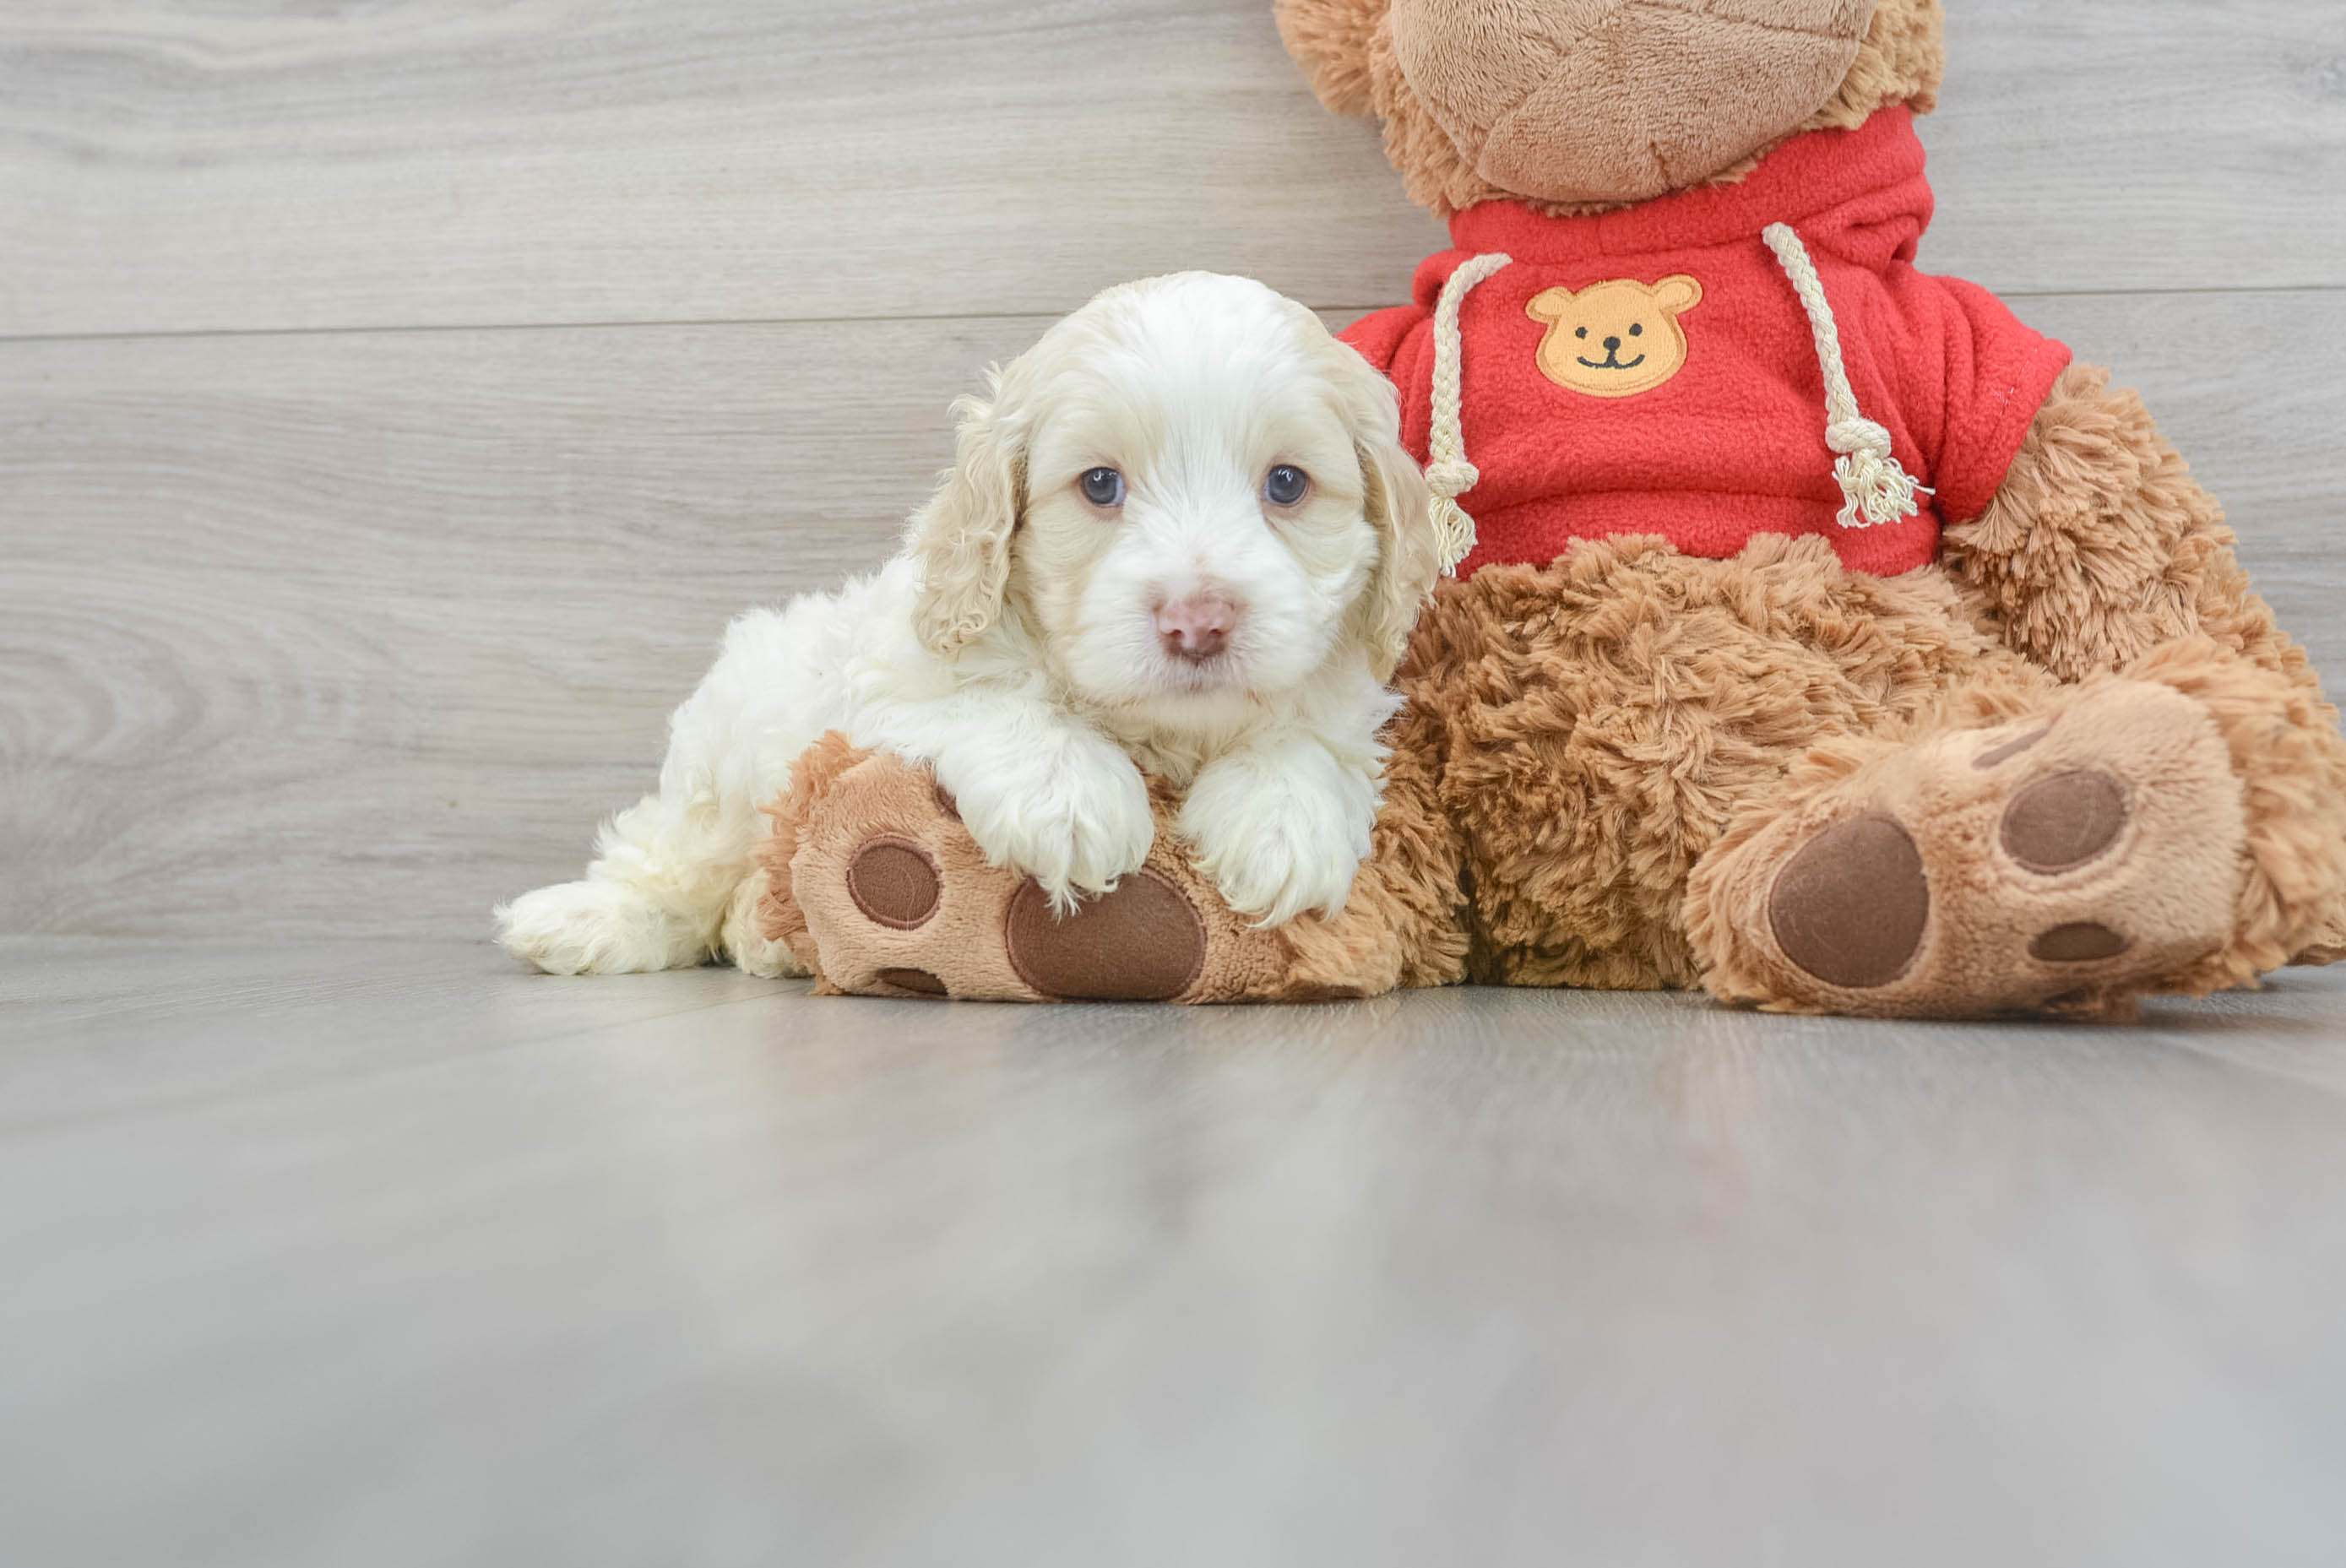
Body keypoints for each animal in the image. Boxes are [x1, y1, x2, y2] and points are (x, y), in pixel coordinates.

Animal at [504, 275, 1436, 971]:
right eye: (1100, 485)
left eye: (1287, 484)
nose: (1197, 622)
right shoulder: (893, 680)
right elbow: (990, 701)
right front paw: (1070, 798)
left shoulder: (1349, 693)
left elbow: (1313, 735)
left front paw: (1283, 822)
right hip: (721, 760)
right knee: (670, 858)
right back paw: (583, 922)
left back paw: (761, 939)